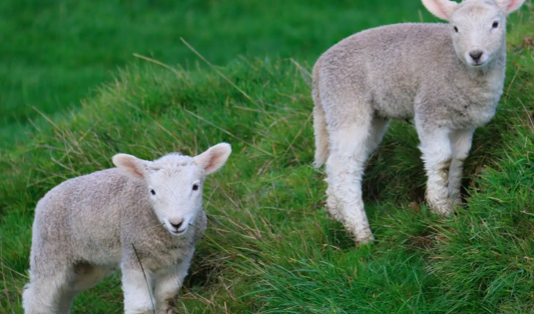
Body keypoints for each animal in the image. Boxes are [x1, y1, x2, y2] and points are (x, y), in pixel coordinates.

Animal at [23, 144, 232, 312]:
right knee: (37, 299)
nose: (176, 223)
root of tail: (44, 198)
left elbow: (167, 299)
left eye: (195, 187)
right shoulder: (134, 258)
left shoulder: (179, 262)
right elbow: (141, 306)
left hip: (87, 264)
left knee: (65, 293)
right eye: (152, 191)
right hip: (50, 255)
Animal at [314, 0, 528, 244]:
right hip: (346, 102)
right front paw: (441, 209)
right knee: (342, 166)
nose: (475, 54)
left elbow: (458, 160)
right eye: (455, 28)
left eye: (495, 24)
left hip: (368, 115)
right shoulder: (430, 112)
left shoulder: (465, 123)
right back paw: (361, 234)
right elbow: (442, 160)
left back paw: (335, 215)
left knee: (337, 162)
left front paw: (456, 205)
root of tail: (319, 67)